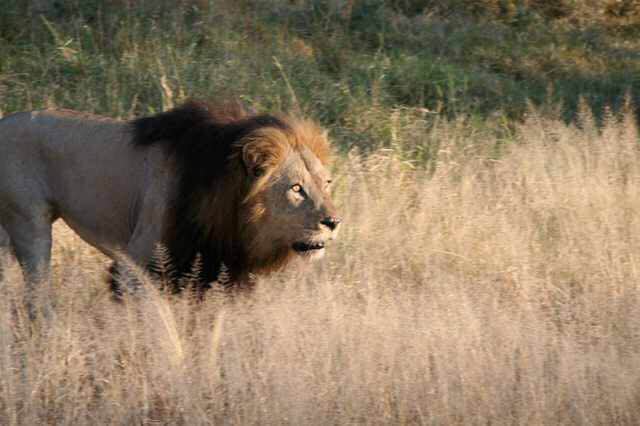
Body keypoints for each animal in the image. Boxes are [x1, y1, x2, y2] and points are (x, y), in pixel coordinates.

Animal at [0, 100, 341, 297]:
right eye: (296, 188)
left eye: (326, 183)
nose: (334, 222)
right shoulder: (138, 270)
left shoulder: (213, 271)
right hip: (30, 224)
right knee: (37, 299)